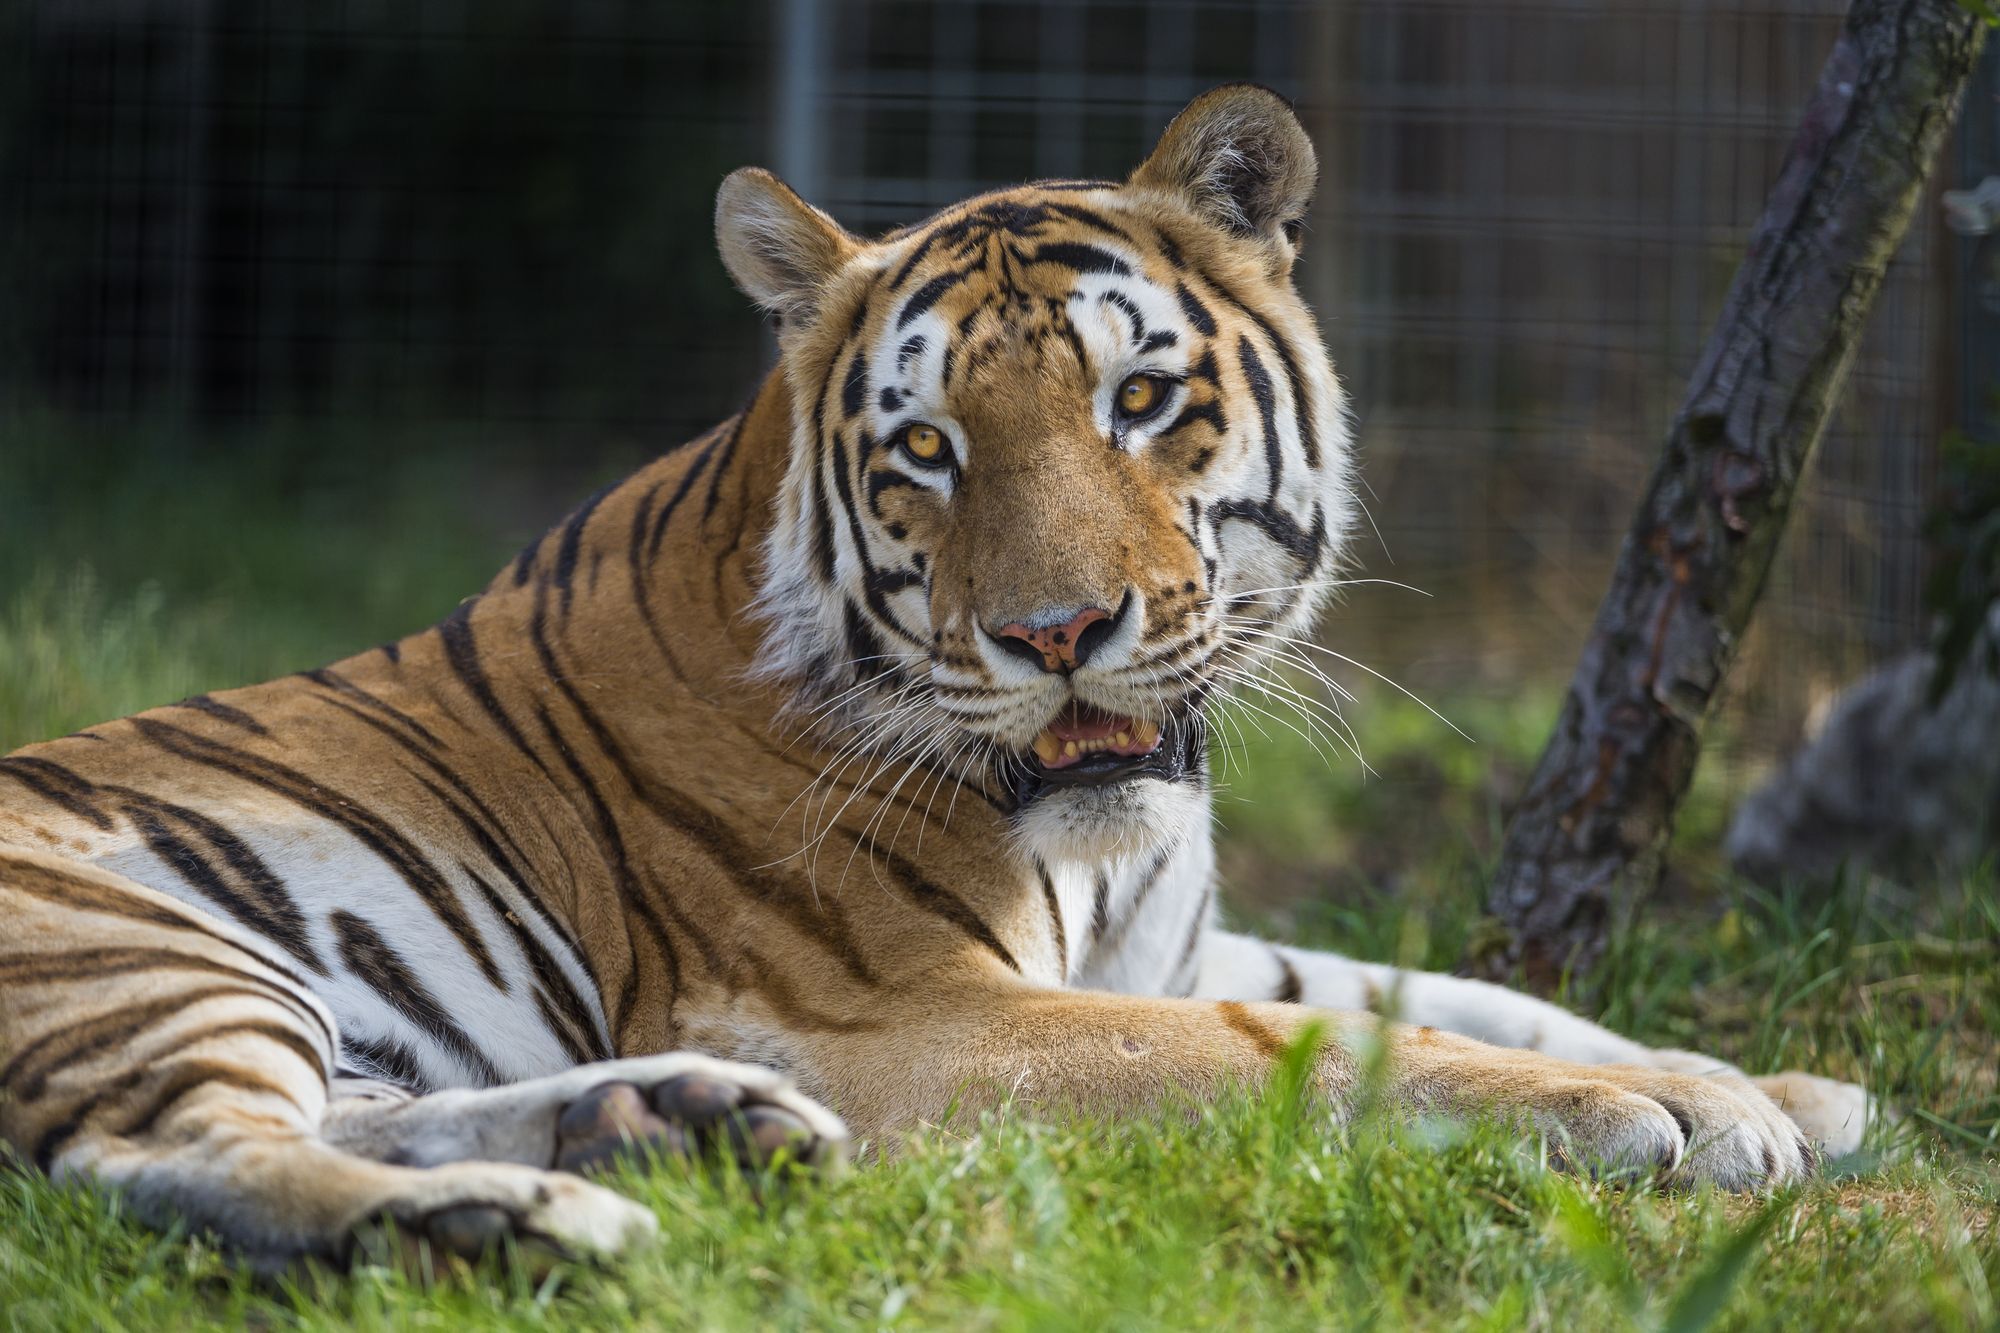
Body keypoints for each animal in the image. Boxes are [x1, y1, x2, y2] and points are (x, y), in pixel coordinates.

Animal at [3, 88, 1872, 1264]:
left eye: (1138, 401)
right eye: (924, 449)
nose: (1056, 634)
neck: (1109, 843)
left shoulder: (1169, 944)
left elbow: (1460, 993)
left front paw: (1769, 1091)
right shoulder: (905, 1017)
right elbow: (1325, 1043)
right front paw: (1646, 1106)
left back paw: (675, 1126)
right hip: (146, 953)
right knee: (156, 1158)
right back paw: (532, 1218)